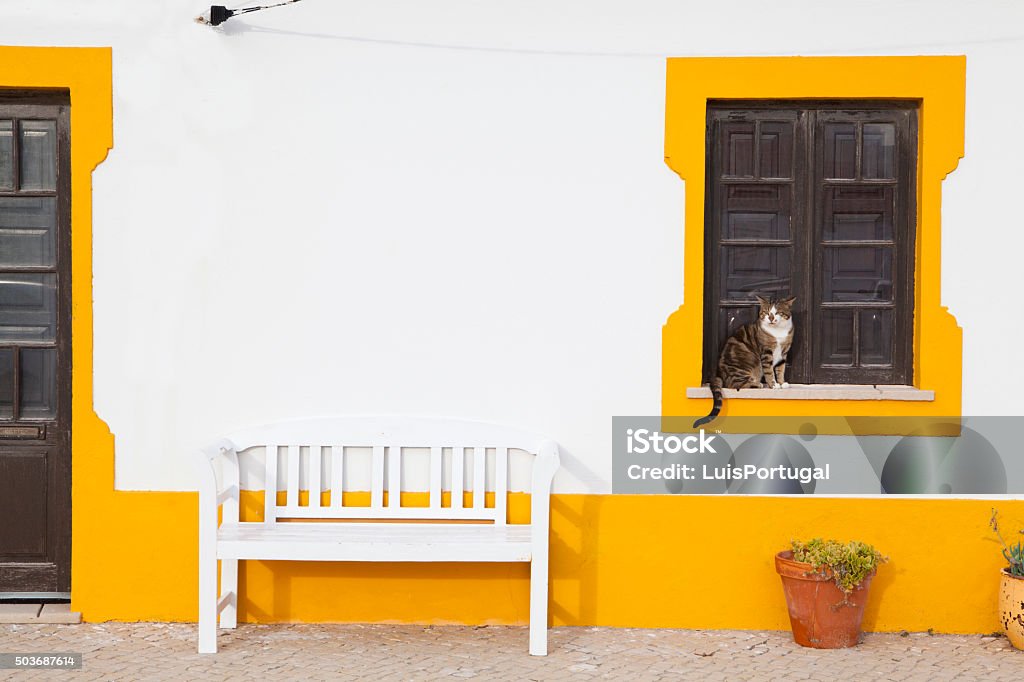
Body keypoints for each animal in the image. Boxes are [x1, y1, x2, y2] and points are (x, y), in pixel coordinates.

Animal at [692, 294, 794, 428]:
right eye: (766, 312)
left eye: (777, 312)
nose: (771, 318)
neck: (778, 332)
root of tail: (718, 373)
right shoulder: (766, 352)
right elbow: (769, 371)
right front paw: (773, 384)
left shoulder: (784, 352)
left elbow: (781, 369)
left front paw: (782, 383)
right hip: (743, 366)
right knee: (734, 384)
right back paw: (758, 384)